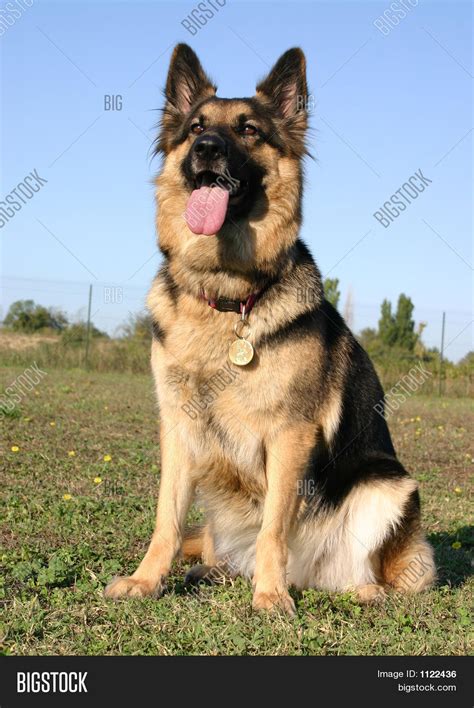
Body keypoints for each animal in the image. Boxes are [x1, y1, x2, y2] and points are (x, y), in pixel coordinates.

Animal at [105, 44, 436, 612]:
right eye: (196, 128)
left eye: (249, 130)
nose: (208, 149)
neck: (226, 296)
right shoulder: (178, 428)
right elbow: (166, 522)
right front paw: (146, 581)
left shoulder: (289, 435)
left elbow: (273, 529)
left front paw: (269, 597)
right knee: (212, 547)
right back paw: (212, 571)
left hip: (388, 484)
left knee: (381, 574)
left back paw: (353, 588)